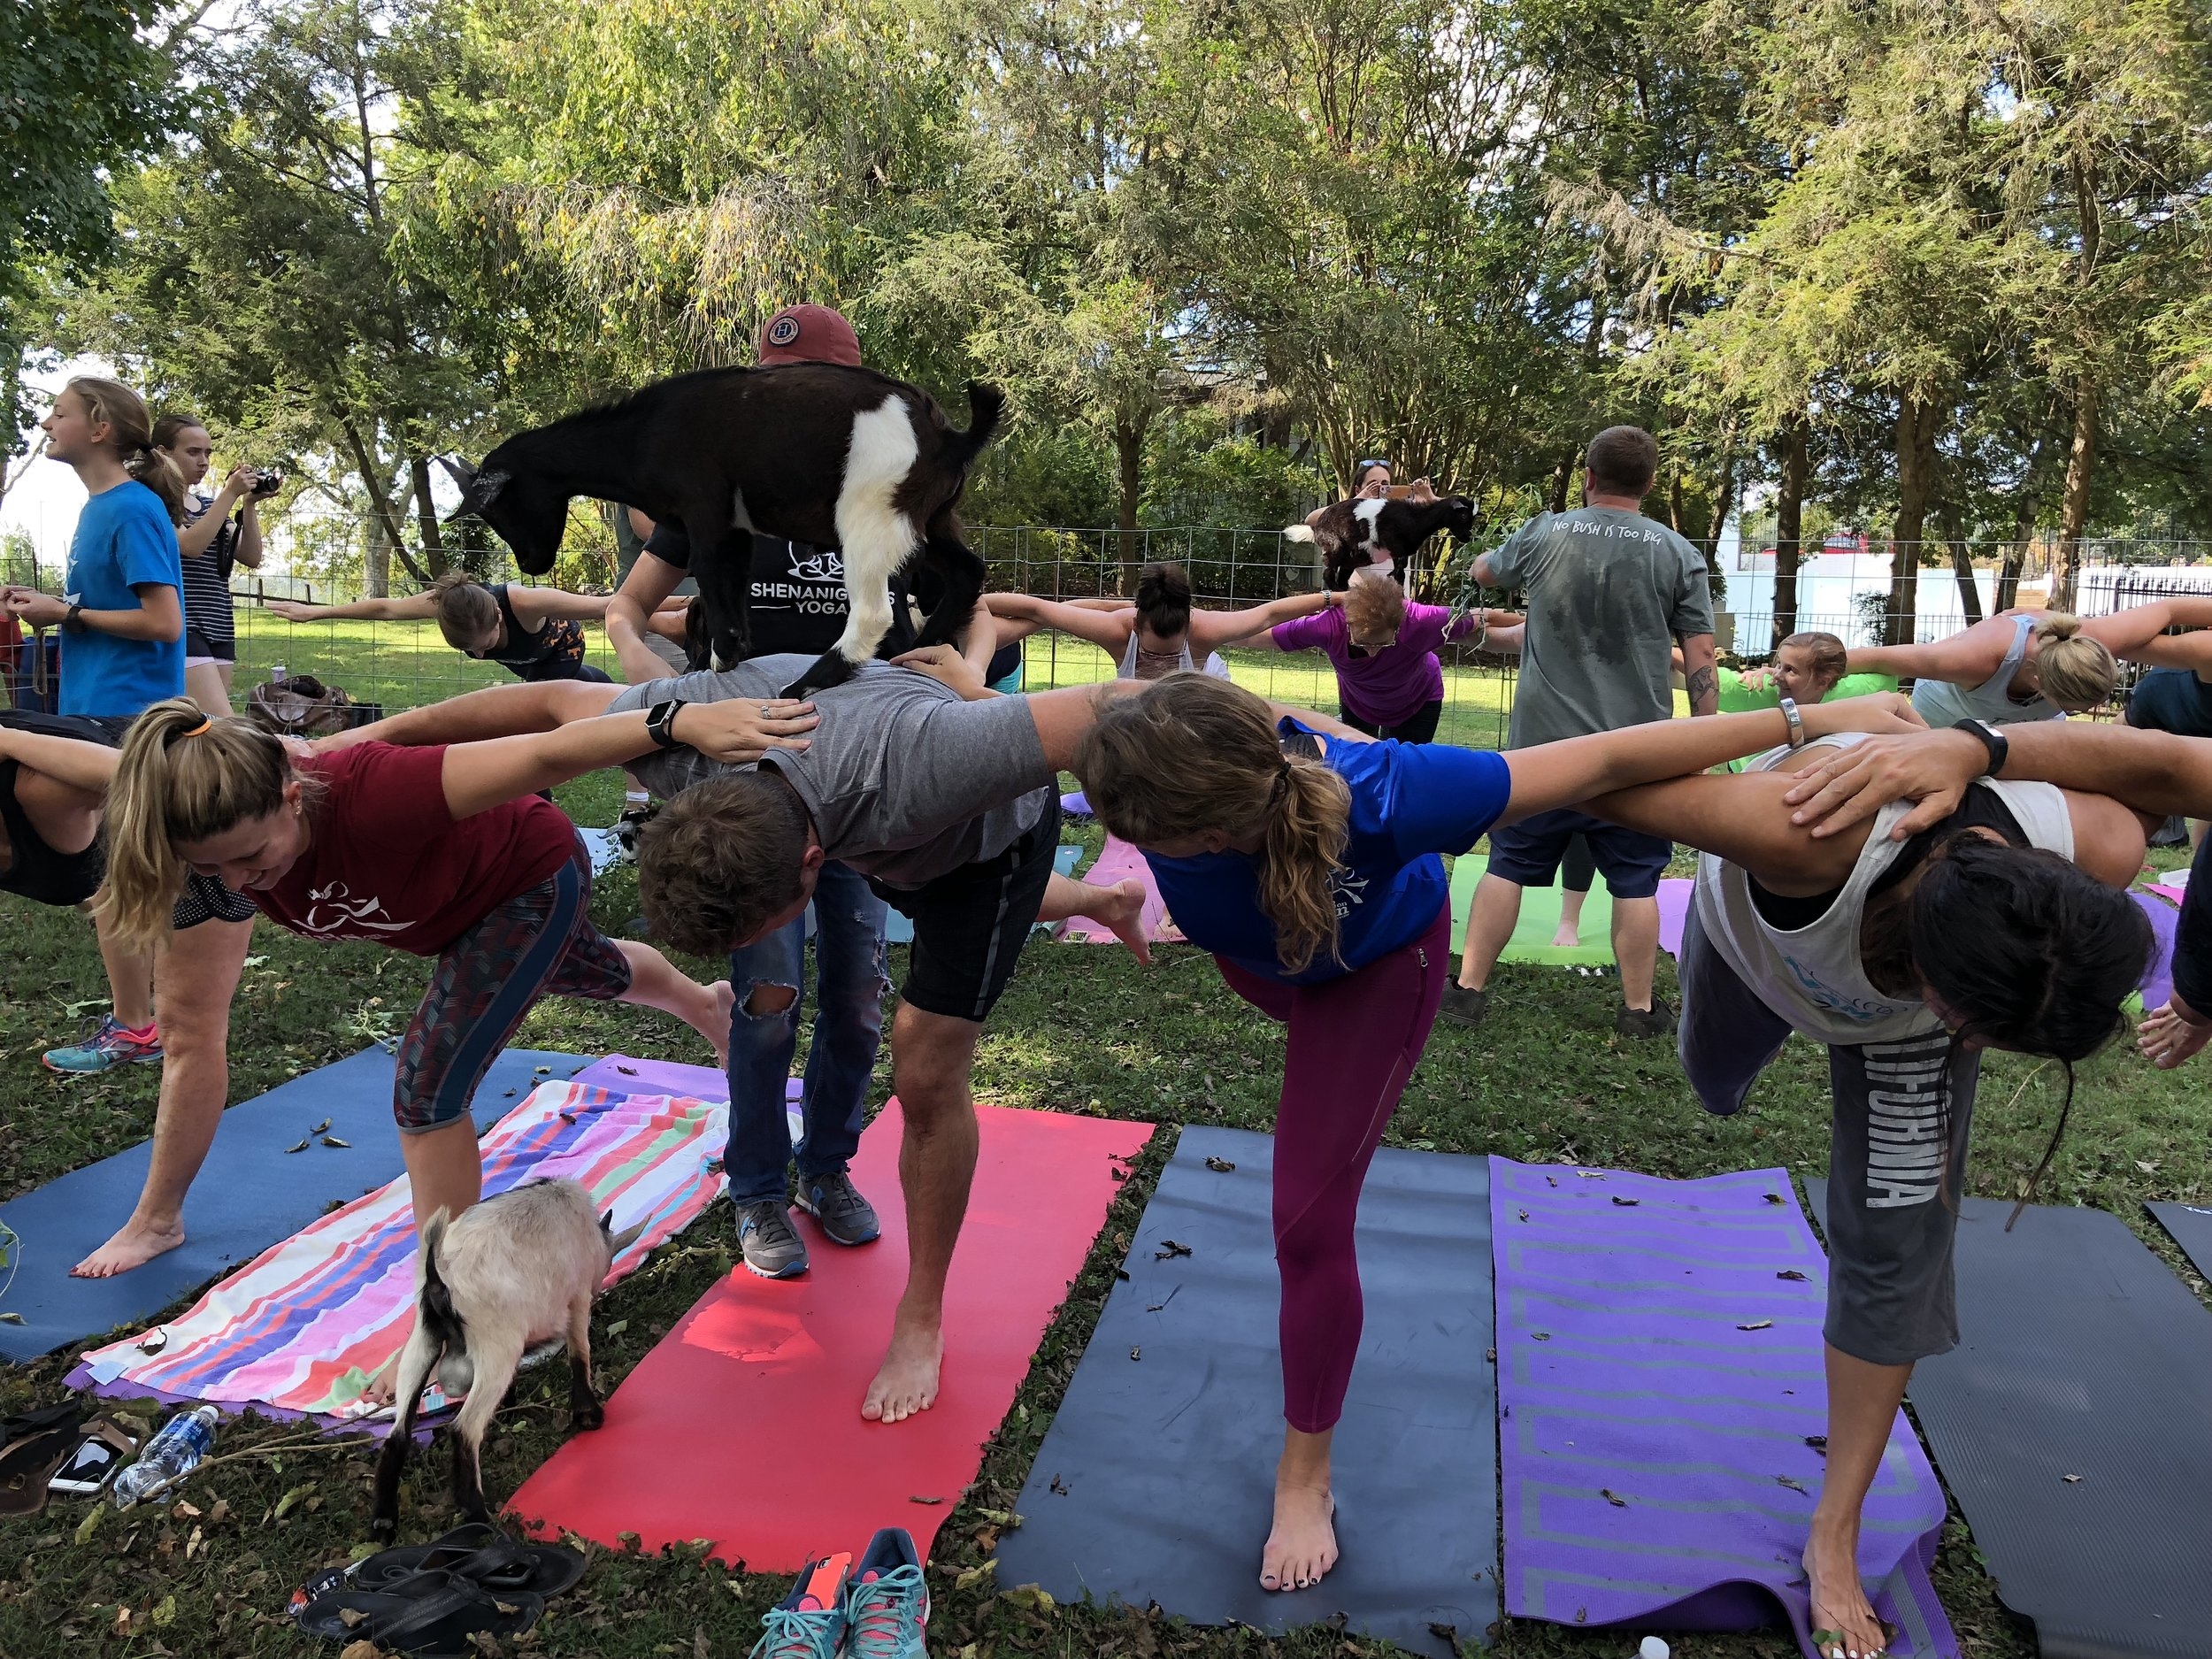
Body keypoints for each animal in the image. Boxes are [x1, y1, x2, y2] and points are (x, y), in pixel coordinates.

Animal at [372, 1186, 646, 1548]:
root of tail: (438, 1274)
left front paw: (510, 1407)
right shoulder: (576, 1298)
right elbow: (579, 1353)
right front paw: (588, 1415)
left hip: (422, 1342)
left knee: (398, 1432)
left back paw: (384, 1521)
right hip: (497, 1343)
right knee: (465, 1428)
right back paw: (478, 1516)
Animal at [449, 363, 1004, 695]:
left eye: (499, 510)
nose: (532, 564)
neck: (642, 434)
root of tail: (949, 437)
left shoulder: (706, 516)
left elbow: (713, 583)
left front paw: (717, 661)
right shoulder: (736, 528)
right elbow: (732, 586)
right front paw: (730, 657)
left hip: (869, 517)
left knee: (873, 613)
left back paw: (810, 682)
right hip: (928, 521)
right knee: (967, 572)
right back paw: (921, 648)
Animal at [1292, 493, 1478, 593]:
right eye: (1463, 515)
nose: (1468, 537)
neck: (1415, 519)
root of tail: (1316, 528)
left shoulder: (1401, 553)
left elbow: (1399, 573)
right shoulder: (1396, 549)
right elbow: (1399, 574)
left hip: (1352, 559)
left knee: (1342, 576)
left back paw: (1346, 591)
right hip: (1335, 546)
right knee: (1328, 572)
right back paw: (1337, 591)